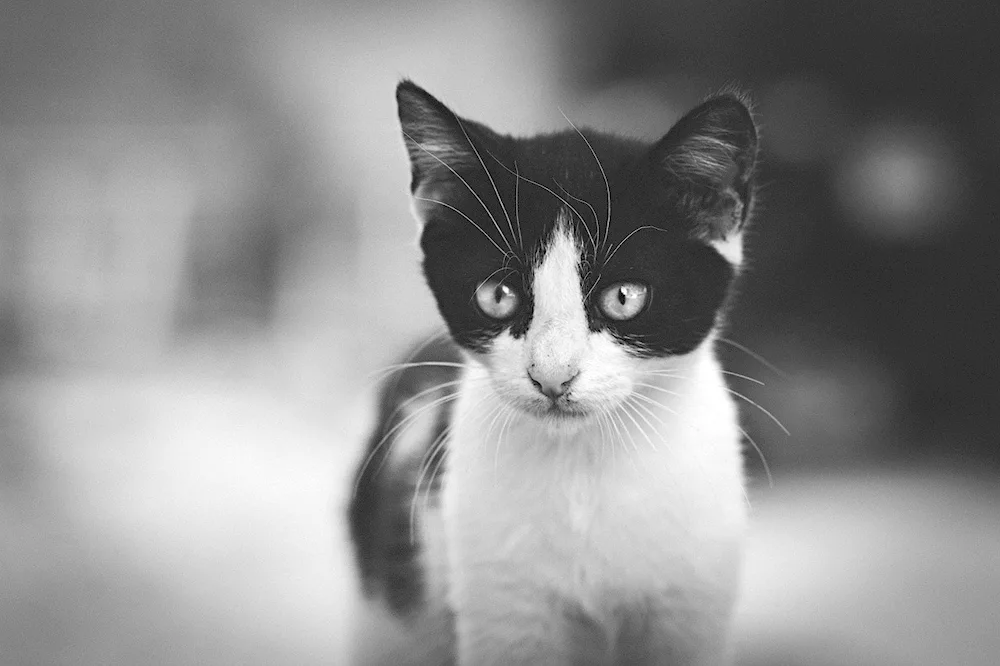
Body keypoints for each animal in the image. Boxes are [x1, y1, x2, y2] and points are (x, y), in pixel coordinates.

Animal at [346, 79, 756, 664]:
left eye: (624, 297)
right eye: (497, 295)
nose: (552, 377)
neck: (585, 467)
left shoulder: (690, 603)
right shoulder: (503, 603)